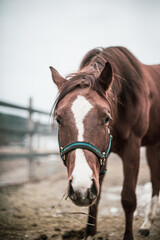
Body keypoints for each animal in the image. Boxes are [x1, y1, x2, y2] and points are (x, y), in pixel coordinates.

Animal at [49, 46, 159, 239]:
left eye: (107, 118)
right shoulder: (100, 156)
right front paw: (90, 233)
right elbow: (96, 199)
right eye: (59, 119)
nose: (80, 188)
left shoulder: (132, 149)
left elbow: (128, 199)